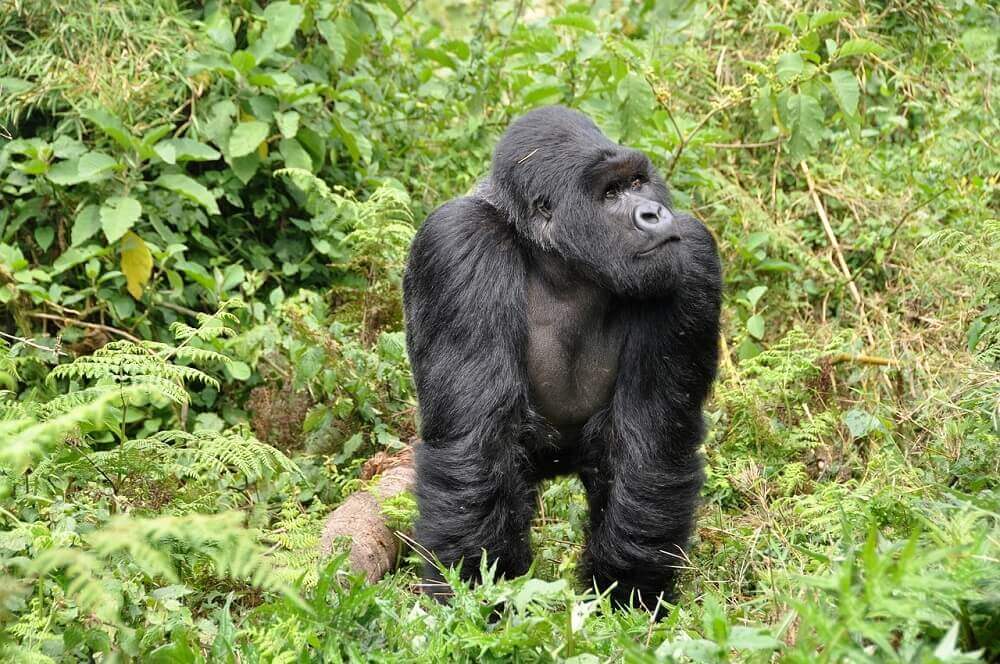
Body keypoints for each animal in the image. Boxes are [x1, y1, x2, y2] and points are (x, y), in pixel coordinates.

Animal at [402, 104, 724, 608]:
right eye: (610, 193)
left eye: (637, 182)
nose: (653, 213)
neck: (561, 262)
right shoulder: (458, 243)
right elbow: (476, 443)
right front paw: (476, 598)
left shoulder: (689, 254)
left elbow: (651, 444)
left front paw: (628, 593)